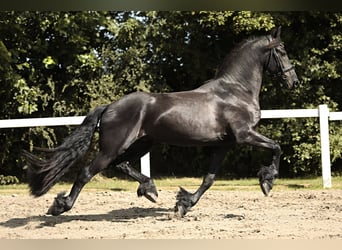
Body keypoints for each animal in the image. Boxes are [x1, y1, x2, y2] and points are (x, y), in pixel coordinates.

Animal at [22, 26, 298, 217]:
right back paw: (60, 207)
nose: (294, 82)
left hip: (143, 143)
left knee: (122, 165)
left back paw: (150, 189)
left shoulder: (224, 144)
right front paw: (267, 181)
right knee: (87, 172)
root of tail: (109, 107)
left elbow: (209, 179)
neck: (234, 91)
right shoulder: (244, 135)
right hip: (114, 147)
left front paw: (184, 204)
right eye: (283, 51)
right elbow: (277, 147)